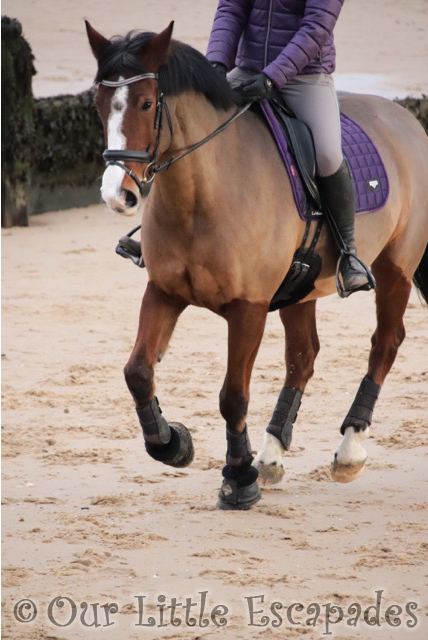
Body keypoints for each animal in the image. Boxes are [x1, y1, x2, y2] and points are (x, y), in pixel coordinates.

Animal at [86, 18, 428, 510]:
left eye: (147, 103)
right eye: (97, 104)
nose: (118, 195)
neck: (202, 194)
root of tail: (405, 119)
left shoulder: (248, 309)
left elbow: (233, 395)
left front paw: (238, 479)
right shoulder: (164, 292)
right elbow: (137, 372)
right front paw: (173, 444)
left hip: (394, 269)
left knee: (385, 342)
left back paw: (348, 448)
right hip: (302, 288)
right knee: (303, 358)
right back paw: (271, 453)